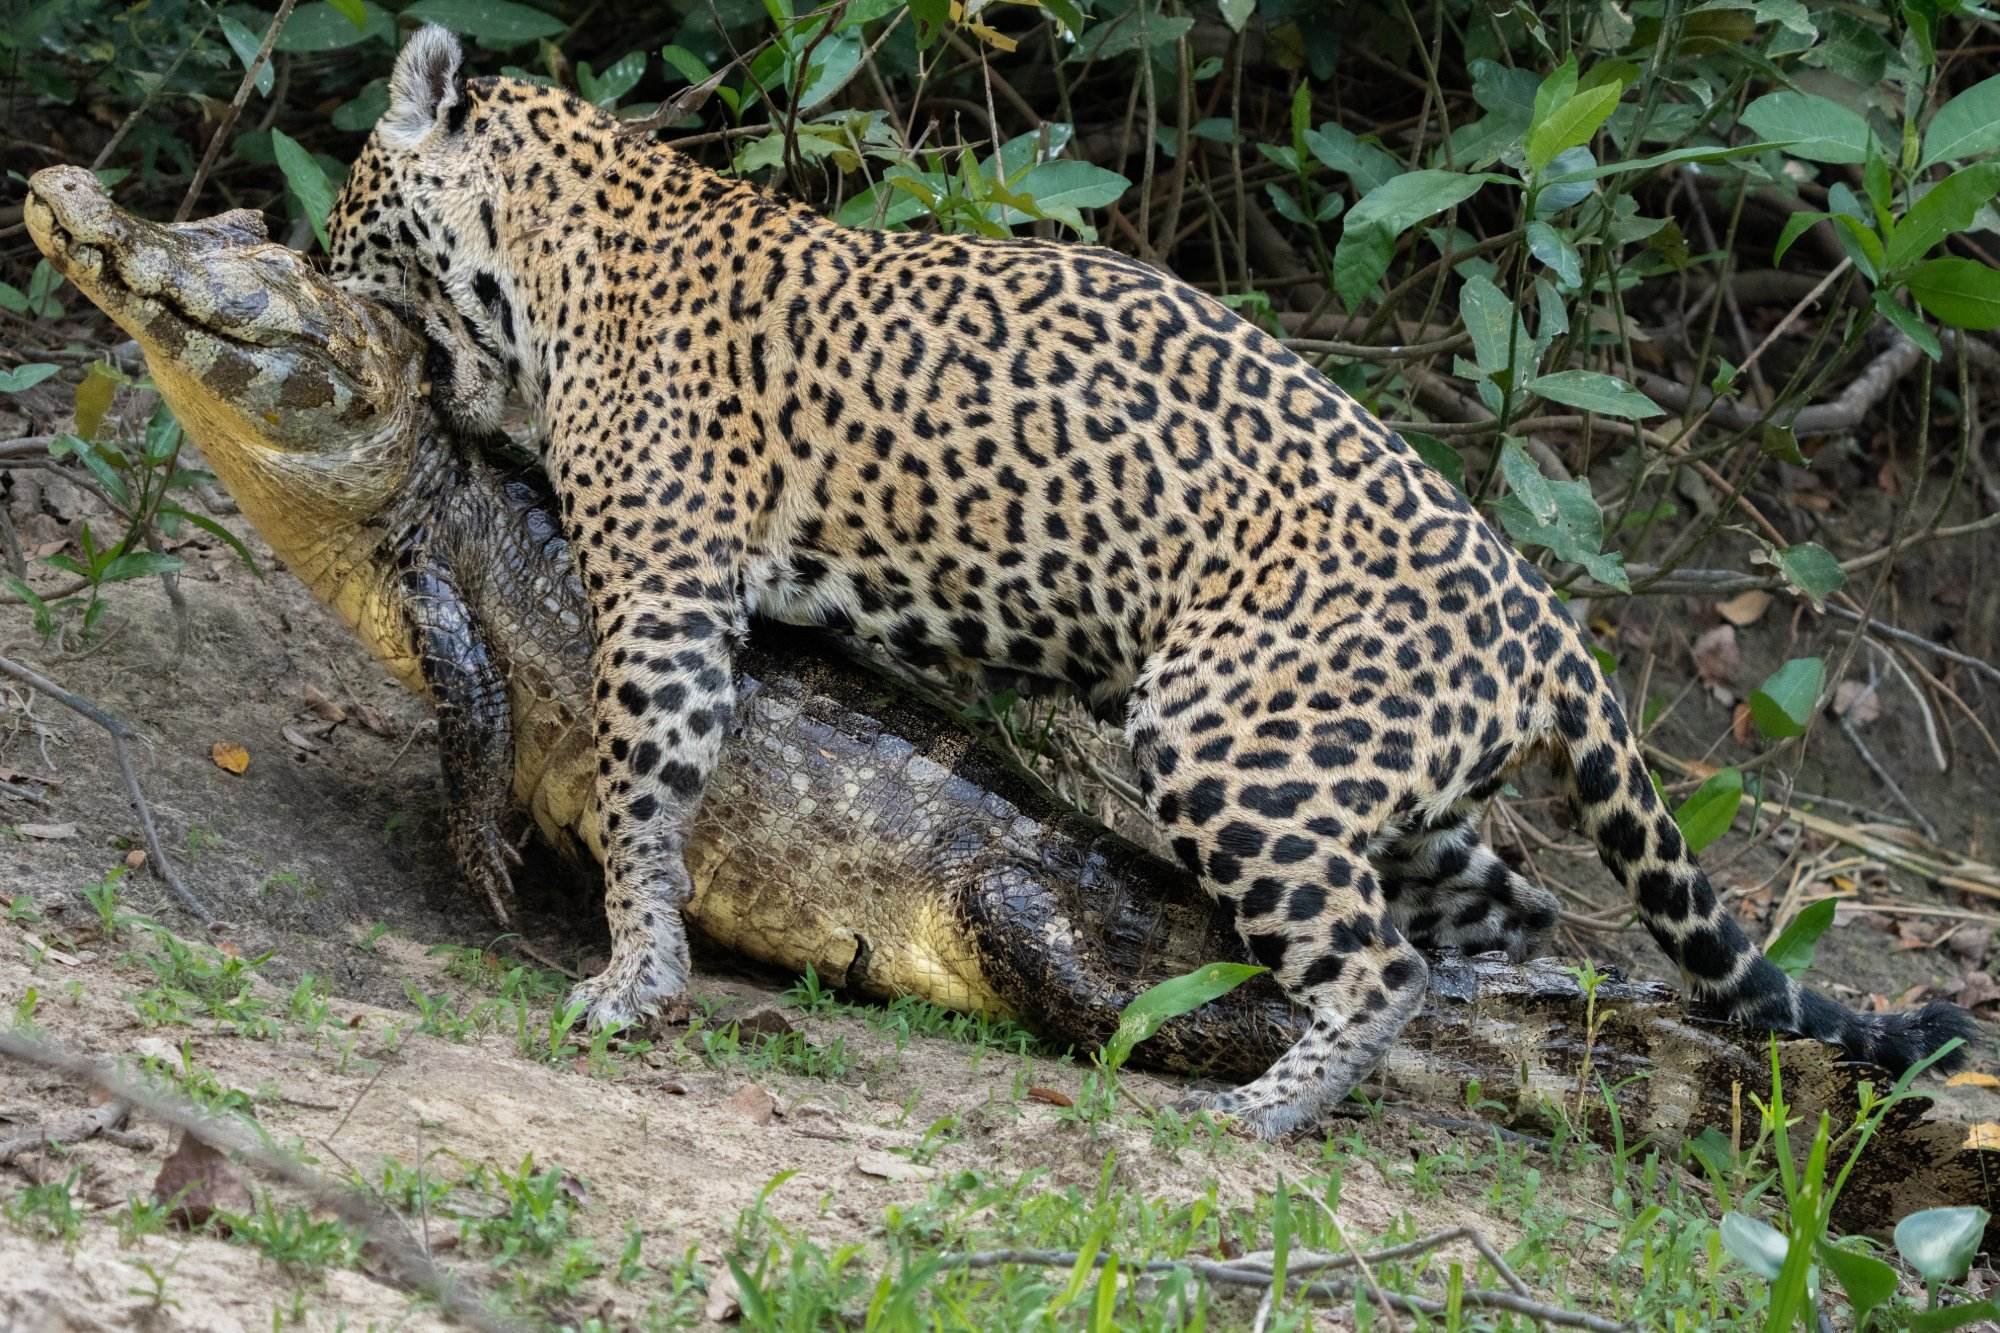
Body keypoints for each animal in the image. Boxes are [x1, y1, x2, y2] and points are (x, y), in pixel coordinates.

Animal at [325, 26, 1974, 1136]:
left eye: (347, 217)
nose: (327, 277)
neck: (556, 257)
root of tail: (1549, 631)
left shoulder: (668, 595)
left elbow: (640, 791)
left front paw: (633, 973)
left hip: (1226, 739)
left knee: (1379, 966)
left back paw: (1262, 1113)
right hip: (1383, 783)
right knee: (1506, 922)